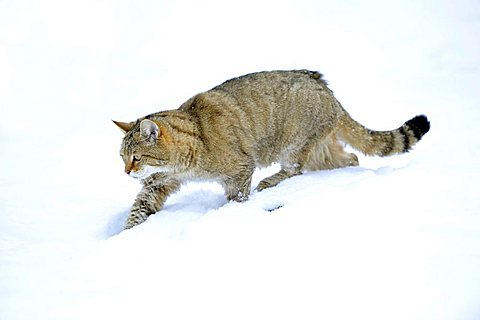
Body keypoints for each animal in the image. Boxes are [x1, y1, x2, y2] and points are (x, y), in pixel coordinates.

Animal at [113, 70, 432, 230]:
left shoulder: (240, 169)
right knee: (350, 158)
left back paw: (270, 181)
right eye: (122, 157)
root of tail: (327, 89)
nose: (126, 172)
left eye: (136, 157)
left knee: (295, 168)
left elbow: (238, 195)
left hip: (294, 143)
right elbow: (140, 207)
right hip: (320, 151)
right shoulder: (158, 183)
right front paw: (127, 234)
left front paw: (233, 211)